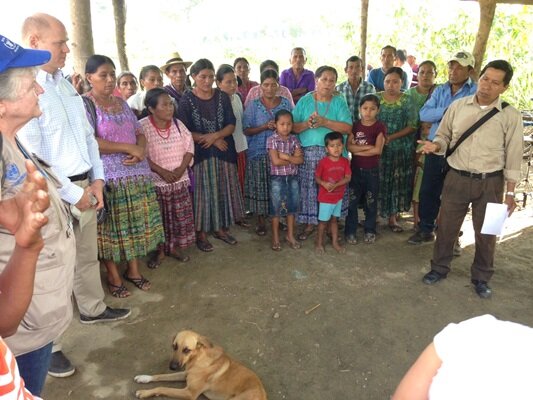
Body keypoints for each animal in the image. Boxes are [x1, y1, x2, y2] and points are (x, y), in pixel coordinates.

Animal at [132, 330, 266, 398]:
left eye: (186, 350)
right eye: (174, 346)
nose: (172, 367)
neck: (197, 359)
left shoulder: (189, 393)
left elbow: (162, 387)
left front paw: (144, 393)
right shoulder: (185, 373)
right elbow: (161, 376)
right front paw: (144, 378)